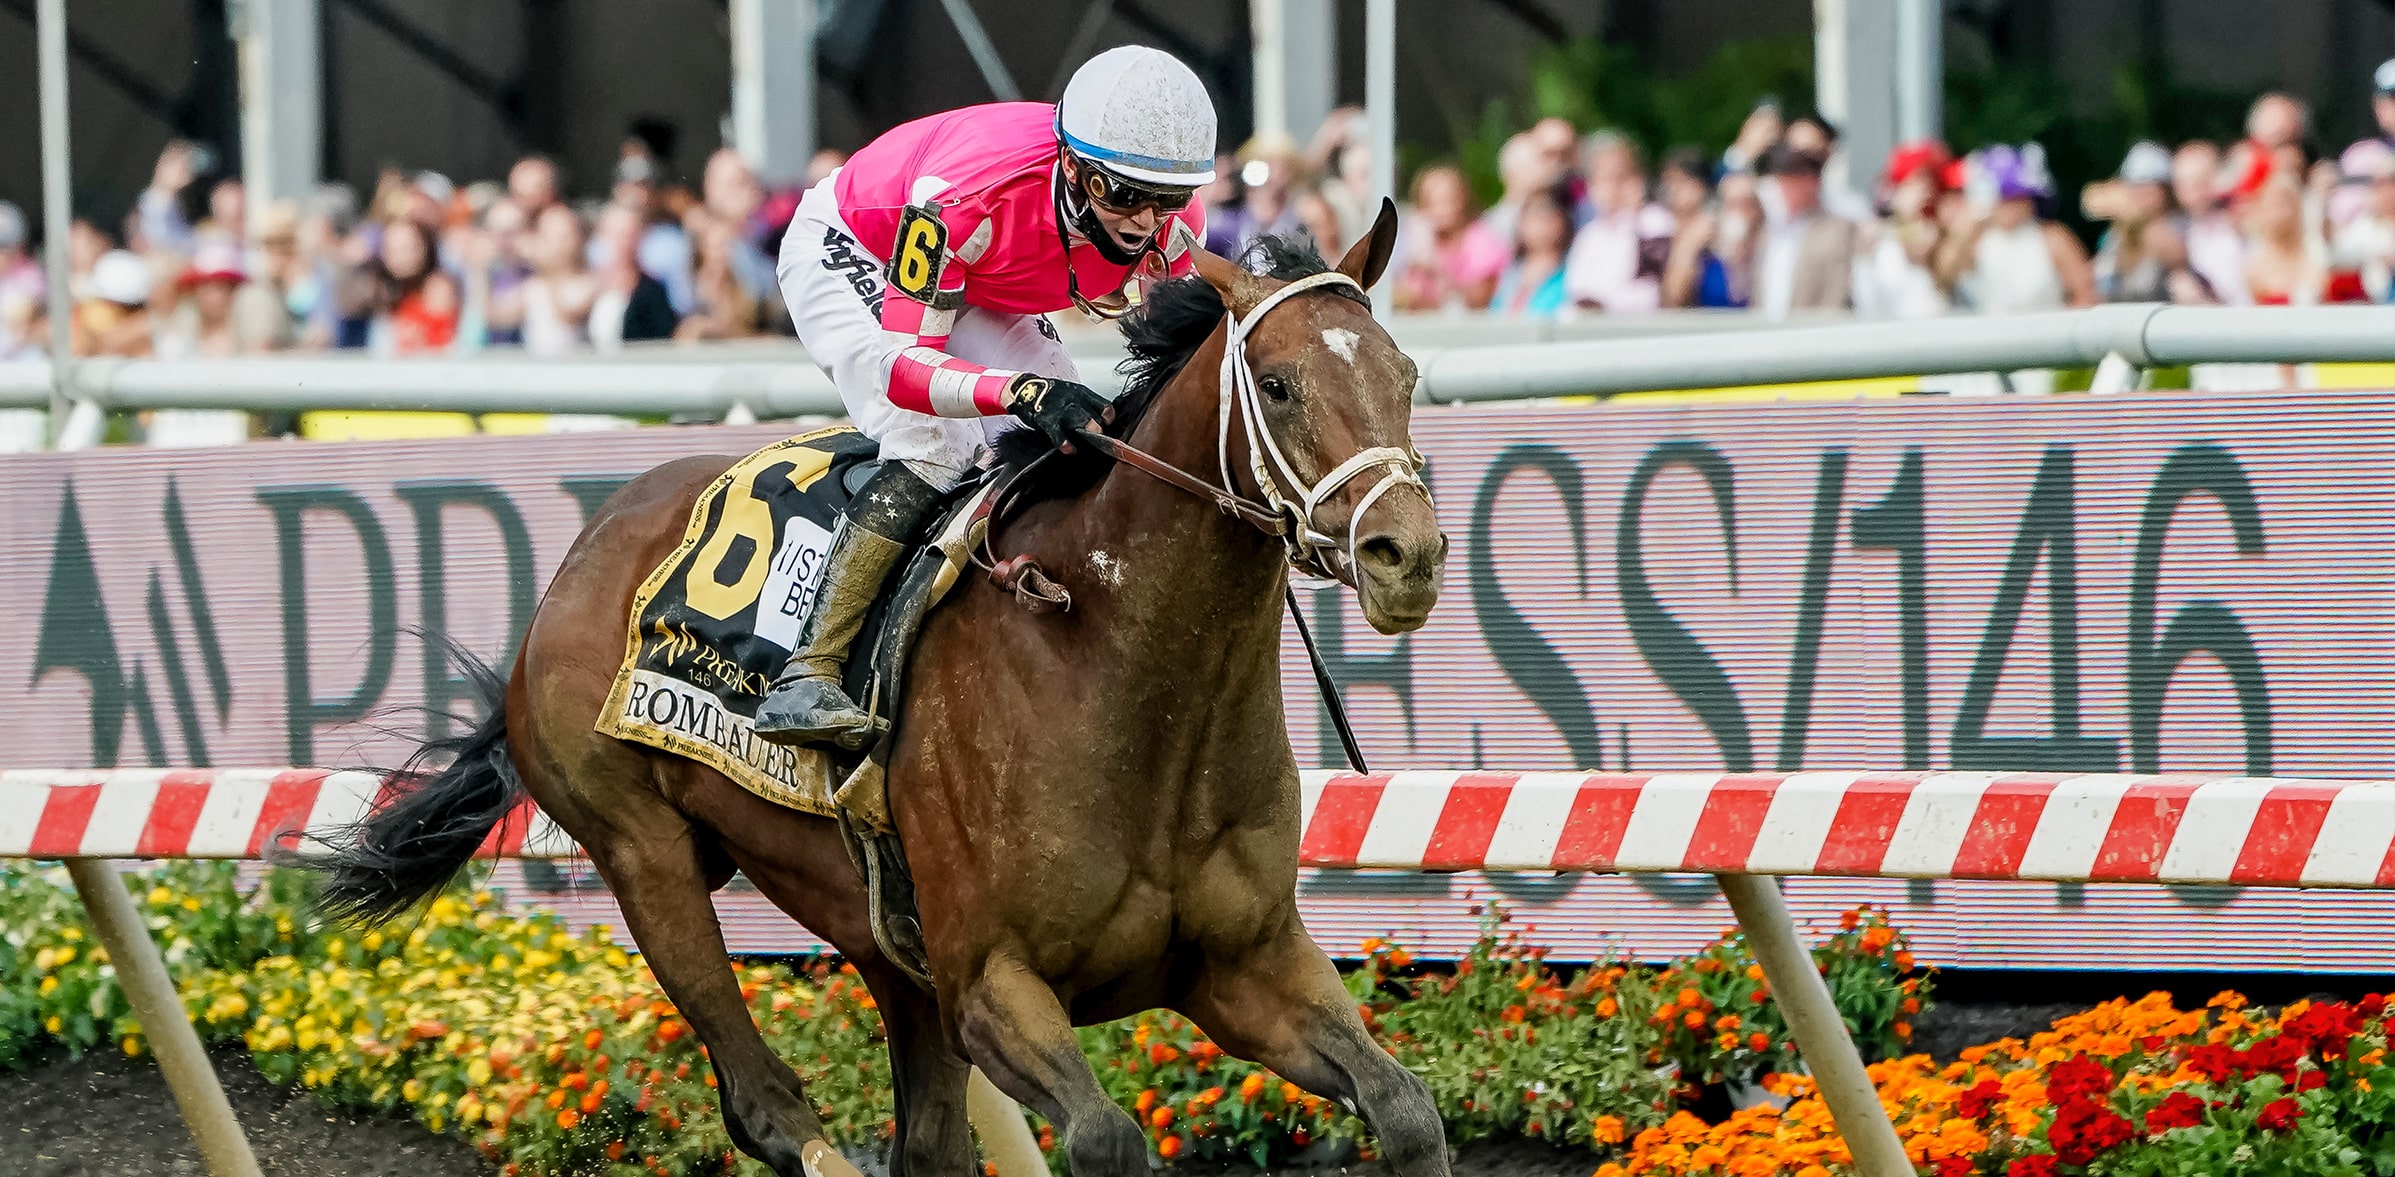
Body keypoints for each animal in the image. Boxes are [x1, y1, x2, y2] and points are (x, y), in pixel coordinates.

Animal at [308, 209, 1446, 1177]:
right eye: (1281, 383)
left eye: (1406, 371)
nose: (1409, 555)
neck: (1124, 680)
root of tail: (581, 555)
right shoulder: (993, 985)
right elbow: (1108, 1138)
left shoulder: (1244, 963)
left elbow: (1405, 1108)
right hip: (643, 853)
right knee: (763, 1104)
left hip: (885, 945)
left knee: (925, 1141)